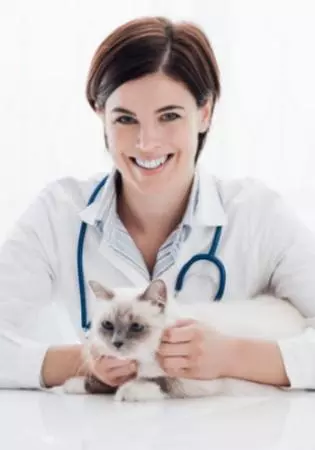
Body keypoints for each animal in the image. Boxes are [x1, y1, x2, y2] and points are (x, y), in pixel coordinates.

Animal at [63, 278, 308, 400]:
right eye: (107, 325)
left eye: (136, 327)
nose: (116, 343)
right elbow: (102, 382)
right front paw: (70, 386)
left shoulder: (197, 382)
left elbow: (160, 382)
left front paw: (128, 391)